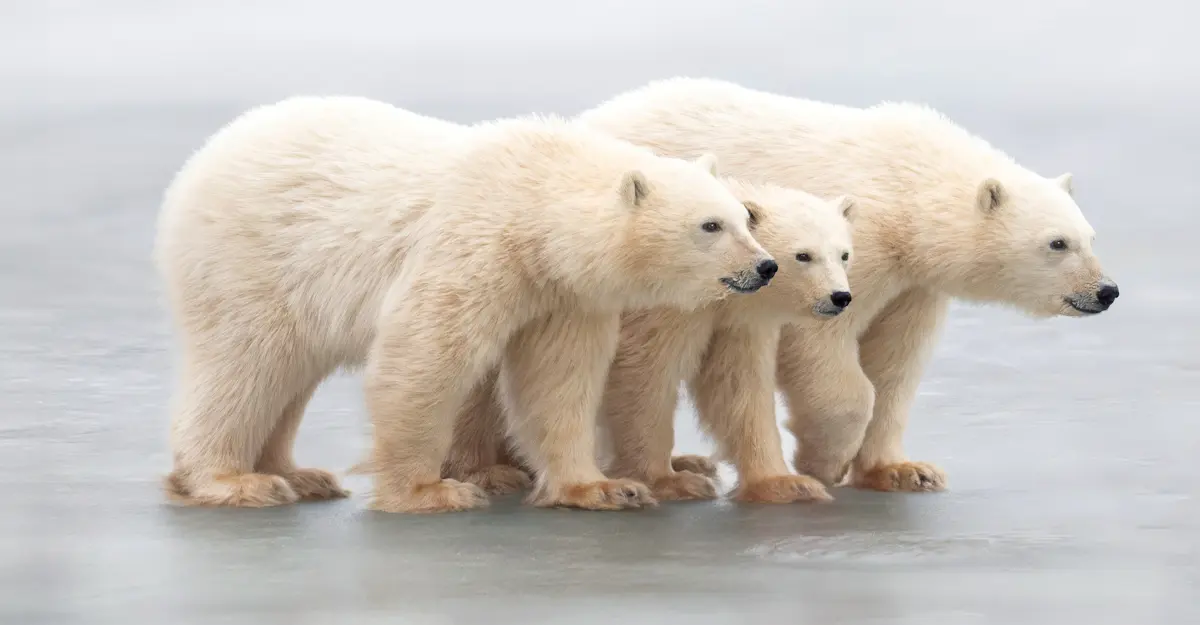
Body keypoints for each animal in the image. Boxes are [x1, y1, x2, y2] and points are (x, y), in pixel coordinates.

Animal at [154, 95, 776, 513]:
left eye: (744, 217)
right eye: (710, 224)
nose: (765, 266)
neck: (534, 203)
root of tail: (202, 159)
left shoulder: (562, 292)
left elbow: (559, 378)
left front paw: (602, 487)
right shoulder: (473, 243)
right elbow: (424, 351)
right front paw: (427, 490)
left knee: (290, 374)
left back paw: (301, 474)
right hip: (252, 261)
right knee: (247, 364)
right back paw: (233, 481)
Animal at [439, 179, 857, 506]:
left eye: (844, 254)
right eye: (803, 255)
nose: (840, 297)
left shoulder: (735, 323)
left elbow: (739, 388)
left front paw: (786, 483)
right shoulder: (661, 309)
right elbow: (643, 374)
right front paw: (667, 481)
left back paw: (692, 459)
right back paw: (486, 471)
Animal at [569, 77, 1120, 494]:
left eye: (1090, 236)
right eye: (1056, 243)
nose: (1106, 291)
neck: (906, 189)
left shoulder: (912, 283)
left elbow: (896, 361)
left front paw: (902, 470)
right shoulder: (853, 247)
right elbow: (825, 350)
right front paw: (825, 462)